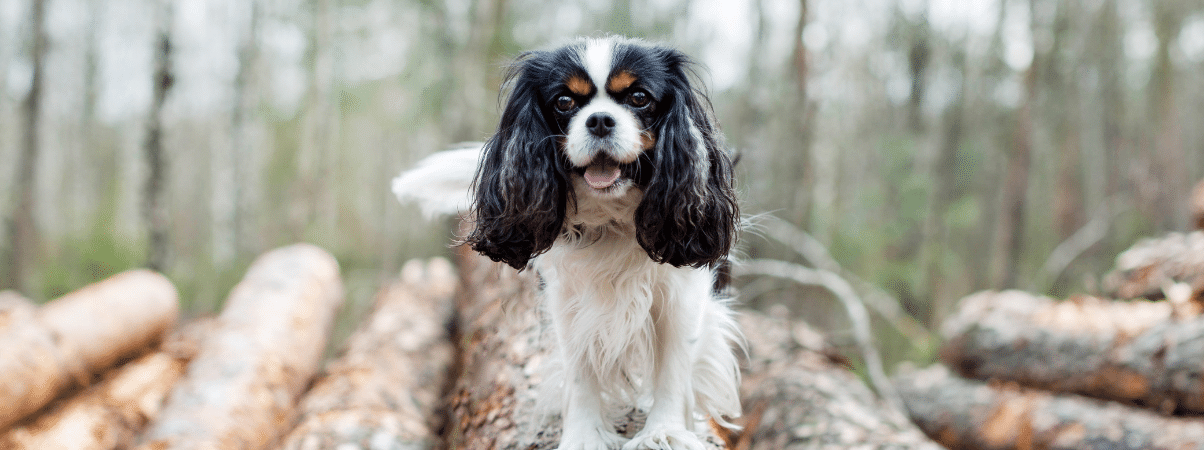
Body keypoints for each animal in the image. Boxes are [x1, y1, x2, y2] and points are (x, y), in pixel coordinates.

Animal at [392, 36, 741, 450]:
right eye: (564, 101)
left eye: (639, 97)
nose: (600, 120)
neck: (612, 219)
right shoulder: (567, 297)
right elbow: (580, 371)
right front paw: (584, 435)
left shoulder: (683, 293)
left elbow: (673, 368)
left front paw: (664, 432)